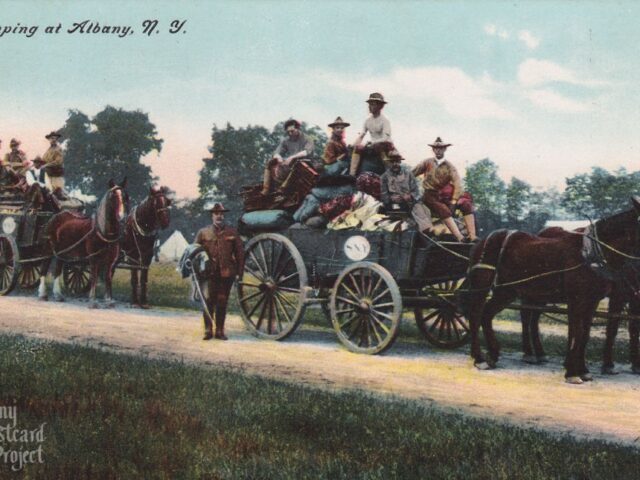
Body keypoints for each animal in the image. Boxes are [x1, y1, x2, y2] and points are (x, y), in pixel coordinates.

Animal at [37, 177, 129, 308]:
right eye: (113, 196)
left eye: (125, 196)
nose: (121, 218)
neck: (103, 232)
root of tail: (55, 216)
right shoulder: (93, 259)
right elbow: (94, 277)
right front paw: (92, 301)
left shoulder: (111, 261)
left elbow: (108, 278)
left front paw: (109, 301)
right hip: (48, 249)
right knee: (44, 269)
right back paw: (42, 294)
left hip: (61, 252)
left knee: (58, 269)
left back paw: (58, 295)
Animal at [464, 197, 640, 384]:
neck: (591, 253)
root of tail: (480, 242)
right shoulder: (577, 299)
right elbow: (577, 333)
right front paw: (572, 372)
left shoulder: (592, 302)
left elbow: (584, 334)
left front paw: (583, 370)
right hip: (481, 286)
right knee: (475, 316)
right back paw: (479, 358)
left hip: (507, 292)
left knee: (487, 314)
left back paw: (493, 354)